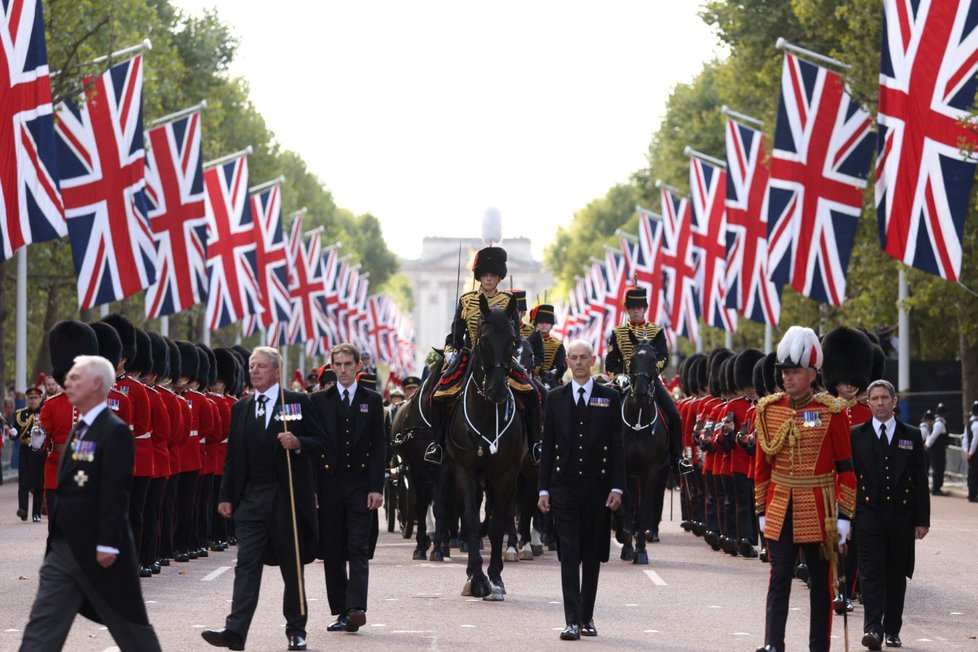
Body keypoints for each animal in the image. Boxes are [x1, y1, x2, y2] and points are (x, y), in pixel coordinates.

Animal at [448, 292, 528, 600]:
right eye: (482, 340)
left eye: (513, 341)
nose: (496, 391)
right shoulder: (464, 472)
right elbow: (471, 520)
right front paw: (477, 578)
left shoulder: (507, 475)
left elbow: (497, 524)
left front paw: (495, 578)